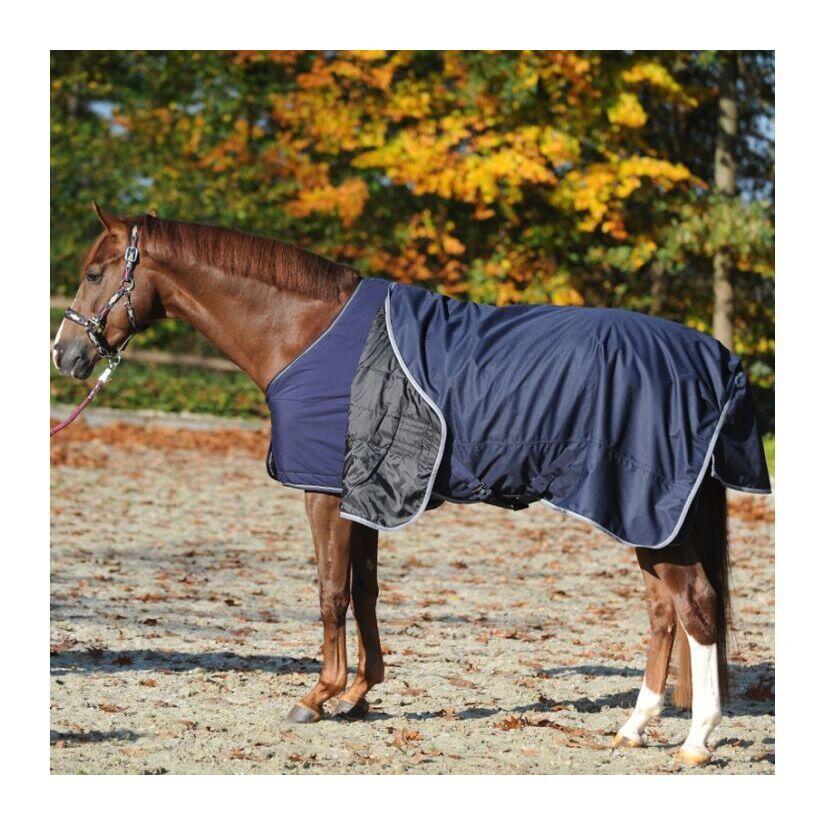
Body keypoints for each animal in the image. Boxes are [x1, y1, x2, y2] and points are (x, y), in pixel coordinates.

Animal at [52, 204, 768, 767]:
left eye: (94, 274)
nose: (65, 354)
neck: (305, 330)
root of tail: (716, 361)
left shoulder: (325, 494)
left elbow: (331, 592)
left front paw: (316, 696)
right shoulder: (365, 495)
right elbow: (366, 592)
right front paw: (360, 693)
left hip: (649, 512)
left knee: (696, 605)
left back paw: (696, 741)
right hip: (647, 517)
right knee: (664, 611)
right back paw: (634, 728)